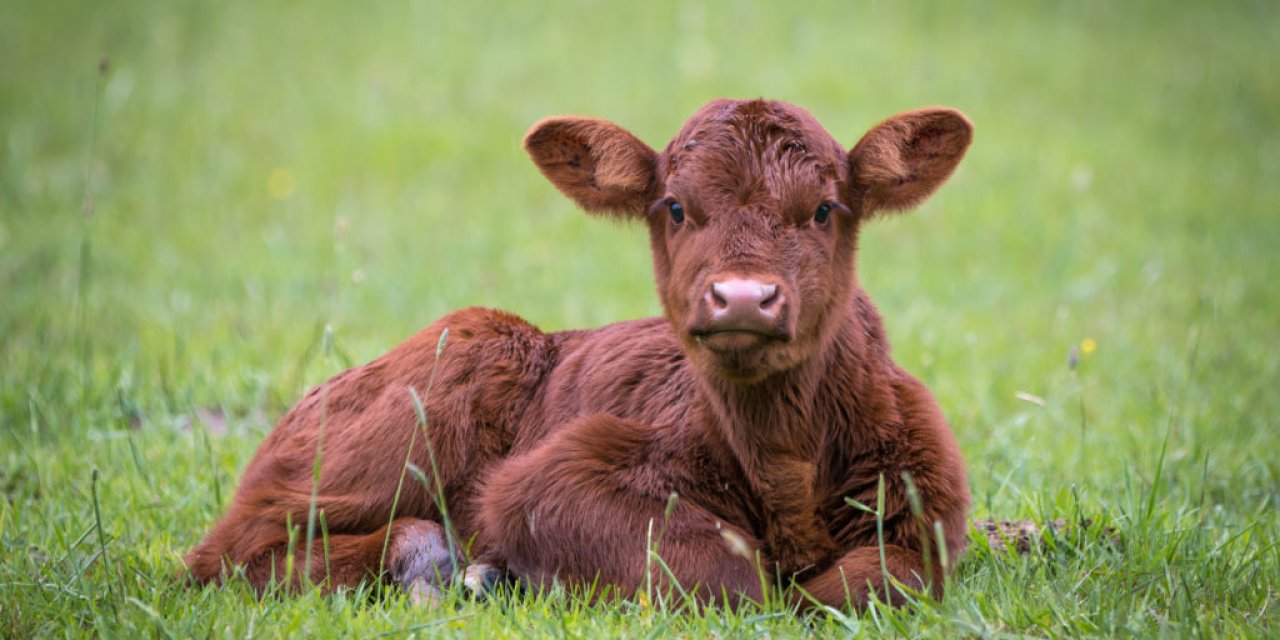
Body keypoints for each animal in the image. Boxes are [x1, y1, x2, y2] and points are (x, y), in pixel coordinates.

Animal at [186, 98, 967, 609]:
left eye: (825, 210)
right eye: (675, 208)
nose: (743, 296)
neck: (784, 467)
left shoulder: (930, 507)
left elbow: (880, 579)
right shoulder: (550, 479)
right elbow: (734, 577)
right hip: (441, 378)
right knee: (223, 555)